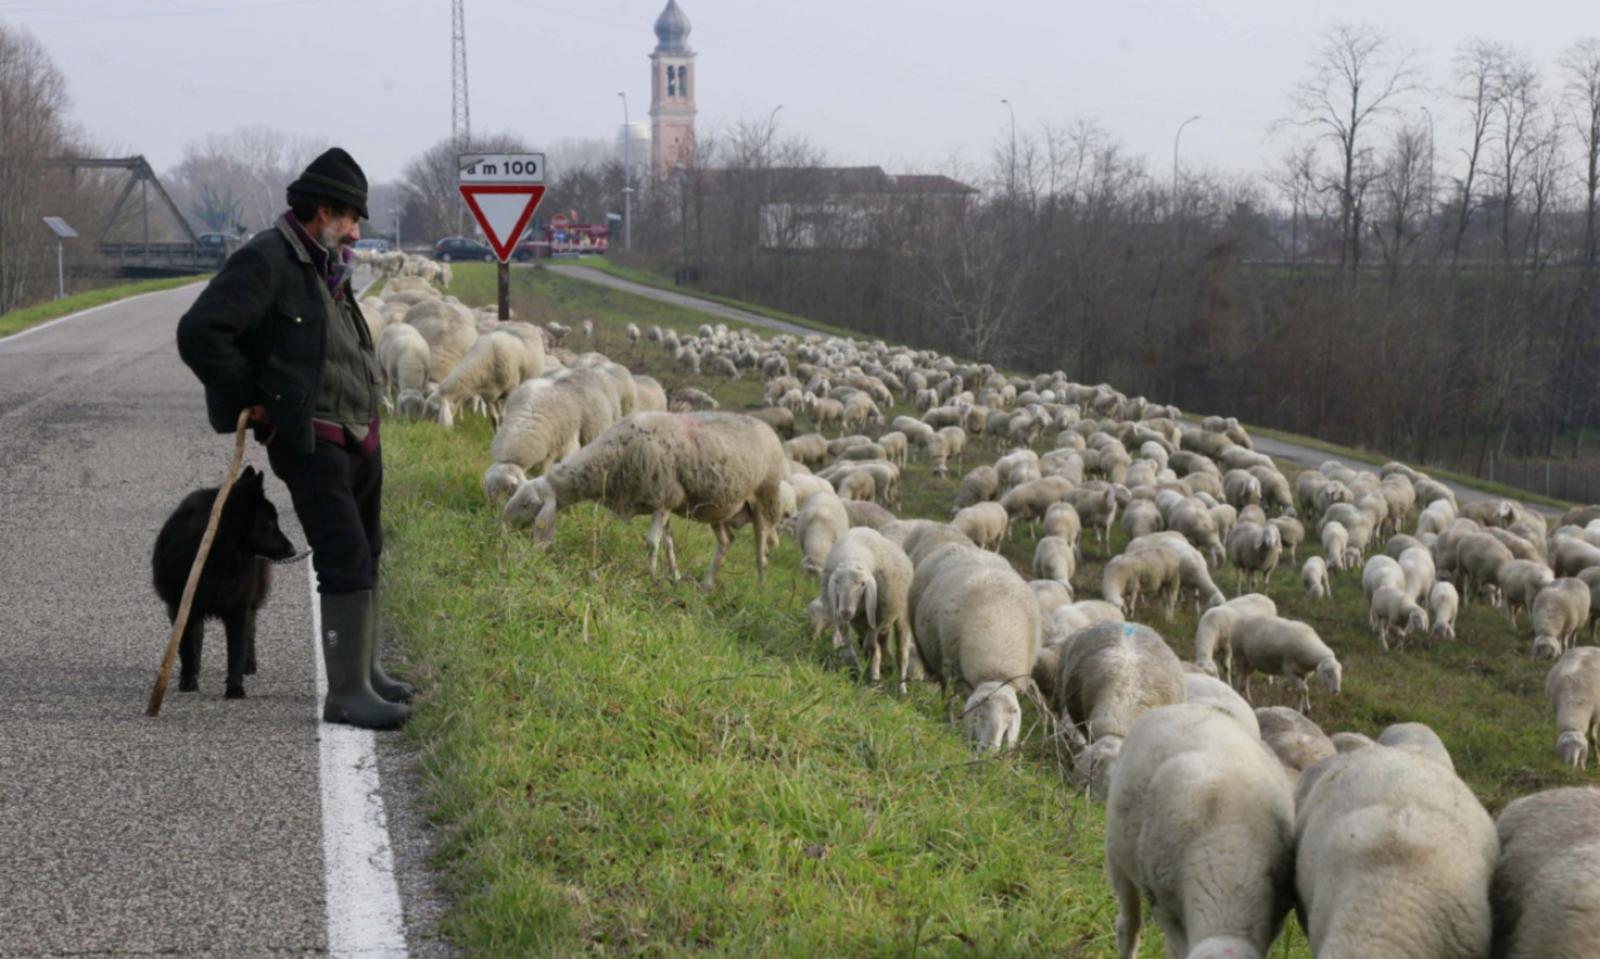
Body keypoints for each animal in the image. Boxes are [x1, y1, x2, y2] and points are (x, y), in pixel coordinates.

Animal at [504, 412, 786, 588]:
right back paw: (707, 585)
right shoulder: (664, 504)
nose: (504, 525)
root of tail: (770, 430)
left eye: (528, 504)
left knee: (762, 556)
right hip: (720, 509)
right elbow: (668, 544)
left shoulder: (665, 498)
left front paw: (649, 577)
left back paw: (761, 592)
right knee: (727, 541)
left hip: (766, 500)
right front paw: (674, 577)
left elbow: (652, 543)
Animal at [821, 528, 915, 692]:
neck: (853, 555)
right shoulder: (854, 621)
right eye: (837, 582)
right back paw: (884, 664)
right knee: (881, 644)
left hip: (902, 616)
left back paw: (901, 688)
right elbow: (850, 646)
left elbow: (871, 647)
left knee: (901, 653)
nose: (845, 612)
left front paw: (873, 678)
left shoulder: (879, 618)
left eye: (862, 584)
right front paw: (858, 672)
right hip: (867, 623)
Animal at [911, 558, 1041, 752]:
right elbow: (951, 698)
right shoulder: (954, 670)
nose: (989, 751)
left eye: (1009, 718)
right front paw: (951, 724)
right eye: (979, 713)